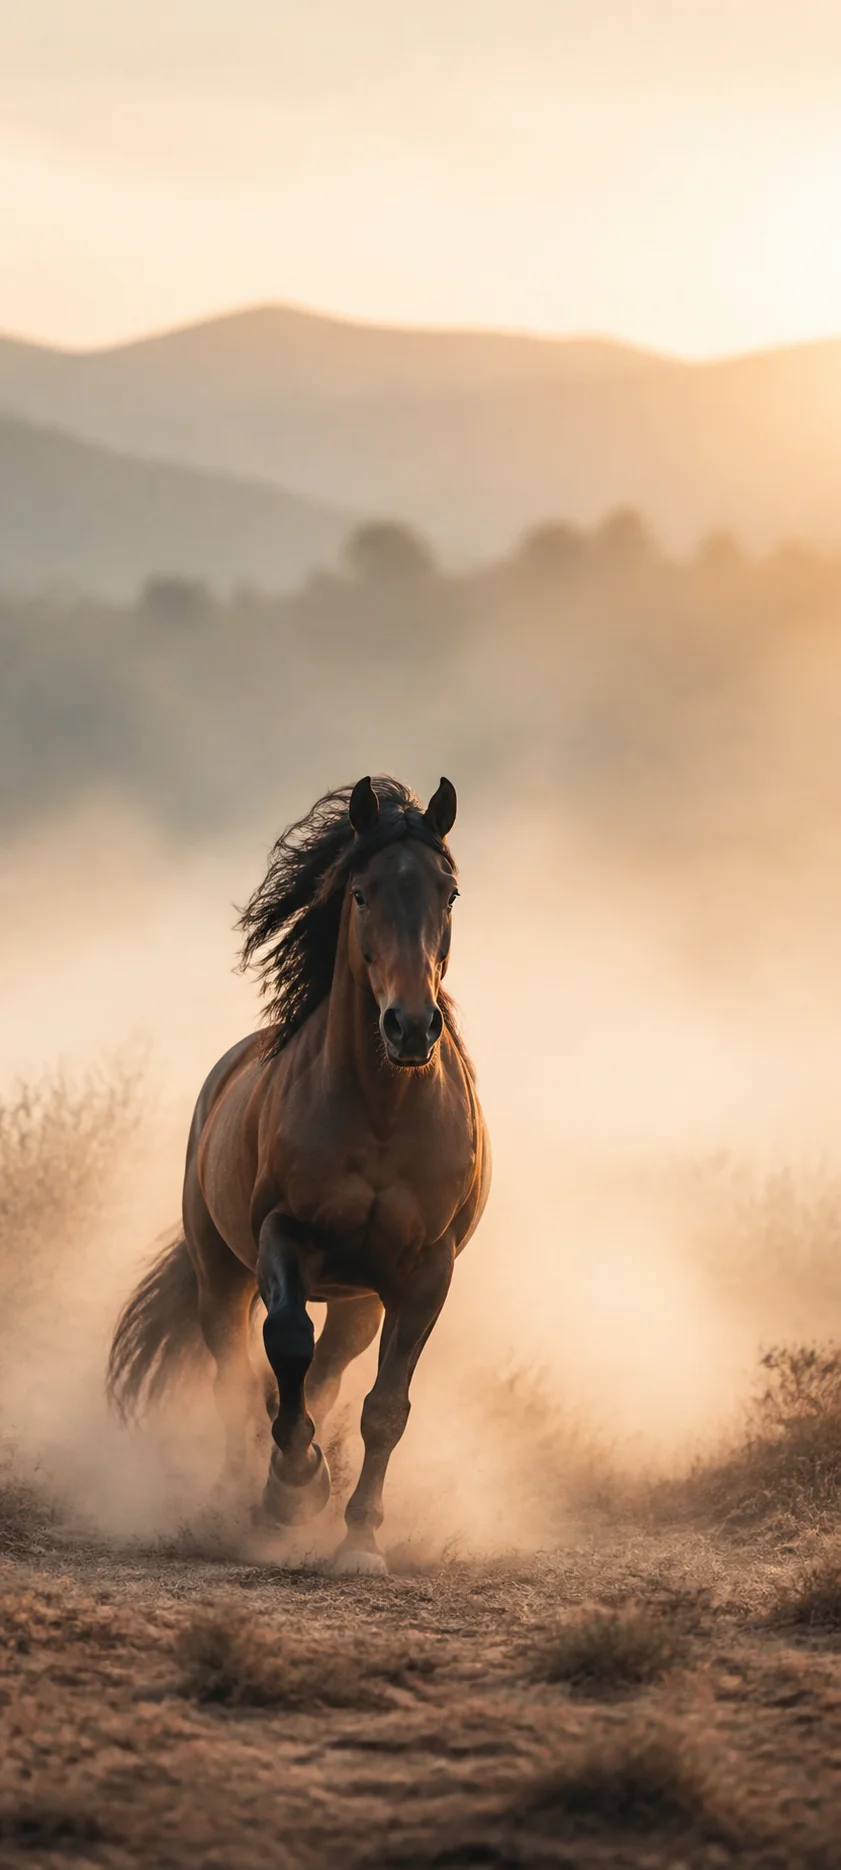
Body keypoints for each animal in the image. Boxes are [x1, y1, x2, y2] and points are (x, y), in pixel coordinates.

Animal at [107, 775, 491, 1574]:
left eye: (448, 893)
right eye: (361, 893)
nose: (411, 1026)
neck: (381, 1111)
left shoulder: (426, 1270)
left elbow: (384, 1408)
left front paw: (360, 1541)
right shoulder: (283, 1234)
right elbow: (284, 1344)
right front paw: (291, 1488)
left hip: (358, 1301)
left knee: (328, 1376)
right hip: (221, 1274)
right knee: (236, 1376)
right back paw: (239, 1503)